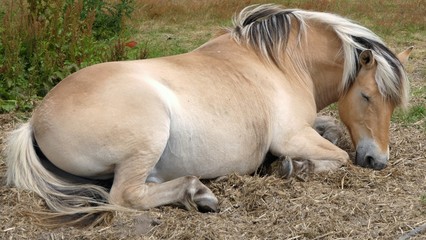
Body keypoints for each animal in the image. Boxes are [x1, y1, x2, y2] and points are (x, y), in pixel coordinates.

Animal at [5, 3, 412, 225]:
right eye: (366, 96)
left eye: (392, 103)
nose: (378, 161)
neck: (280, 61)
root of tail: (34, 122)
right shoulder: (292, 135)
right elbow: (339, 155)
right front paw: (295, 167)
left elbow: (333, 131)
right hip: (148, 135)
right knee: (126, 195)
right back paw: (197, 191)